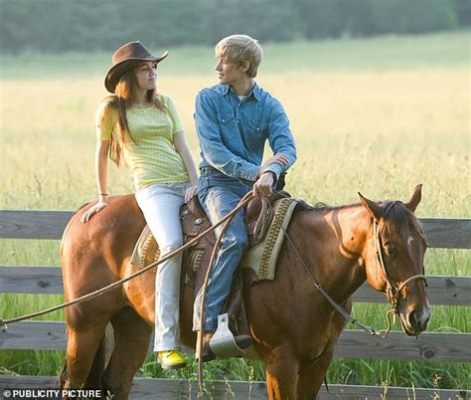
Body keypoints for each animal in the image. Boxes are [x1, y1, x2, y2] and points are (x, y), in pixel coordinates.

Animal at [59, 186, 432, 398]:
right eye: (389, 246)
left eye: (424, 243)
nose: (420, 315)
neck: (309, 262)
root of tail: (86, 211)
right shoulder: (281, 361)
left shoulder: (318, 359)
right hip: (86, 324)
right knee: (71, 384)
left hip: (132, 325)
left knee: (117, 383)